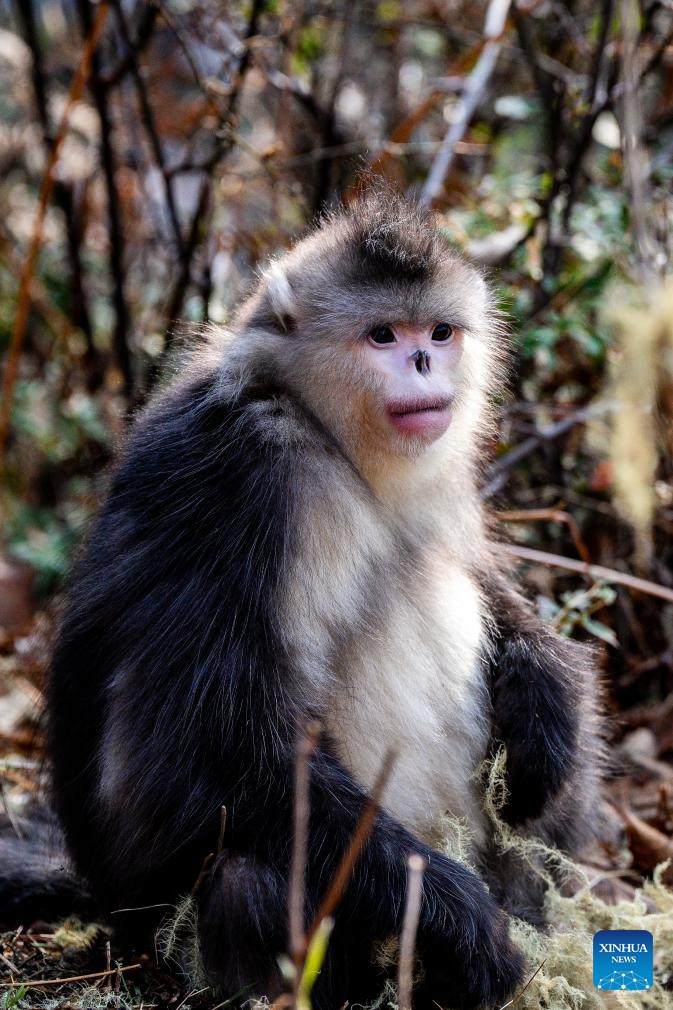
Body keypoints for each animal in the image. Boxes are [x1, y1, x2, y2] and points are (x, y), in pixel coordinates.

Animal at [38, 190, 601, 1009]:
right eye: (382, 335)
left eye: (438, 332)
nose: (422, 361)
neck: (317, 423)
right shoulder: (248, 478)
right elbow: (204, 756)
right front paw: (458, 918)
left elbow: (489, 587)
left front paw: (545, 689)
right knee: (246, 876)